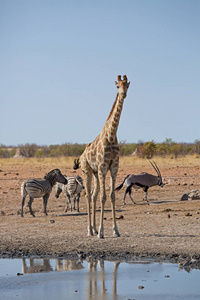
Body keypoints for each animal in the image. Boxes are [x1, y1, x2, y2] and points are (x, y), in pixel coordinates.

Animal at [74, 75, 130, 239]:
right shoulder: (103, 166)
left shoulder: (114, 167)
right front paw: (101, 232)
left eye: (127, 86)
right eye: (118, 86)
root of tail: (81, 156)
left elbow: (111, 195)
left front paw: (115, 230)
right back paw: (89, 230)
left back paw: (93, 229)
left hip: (95, 172)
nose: (123, 94)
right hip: (87, 171)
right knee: (88, 195)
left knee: (93, 195)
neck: (111, 136)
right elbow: (103, 197)